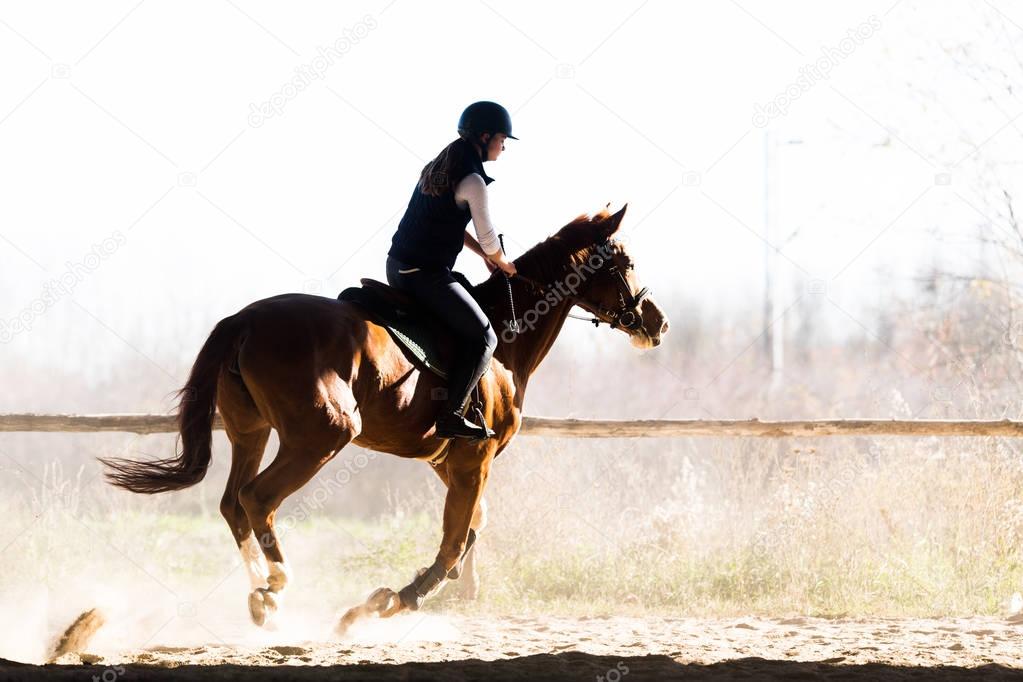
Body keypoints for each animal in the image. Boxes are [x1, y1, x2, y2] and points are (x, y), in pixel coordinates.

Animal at [97, 204, 671, 633]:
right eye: (625, 263)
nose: (657, 323)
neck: (506, 338)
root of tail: (244, 320)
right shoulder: (475, 455)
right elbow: (456, 539)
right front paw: (386, 603)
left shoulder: (446, 459)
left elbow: (472, 529)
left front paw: (402, 594)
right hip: (322, 436)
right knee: (256, 498)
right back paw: (275, 587)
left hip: (251, 432)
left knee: (231, 502)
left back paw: (262, 598)